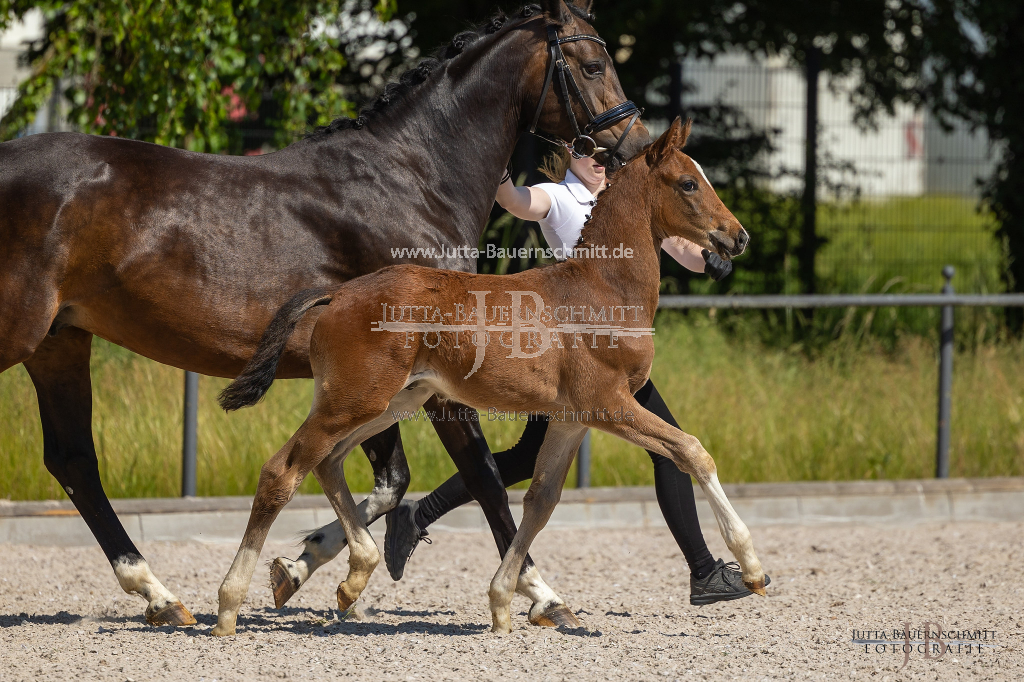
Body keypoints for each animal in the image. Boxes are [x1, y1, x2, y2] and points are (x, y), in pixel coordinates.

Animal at [214, 119, 761, 634]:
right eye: (688, 183)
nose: (737, 237)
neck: (601, 288)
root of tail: (338, 295)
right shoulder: (610, 403)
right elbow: (691, 451)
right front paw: (752, 567)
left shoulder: (572, 418)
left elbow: (541, 500)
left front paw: (504, 601)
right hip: (352, 400)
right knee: (283, 471)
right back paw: (229, 605)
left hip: (390, 402)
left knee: (328, 463)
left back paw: (351, 575)